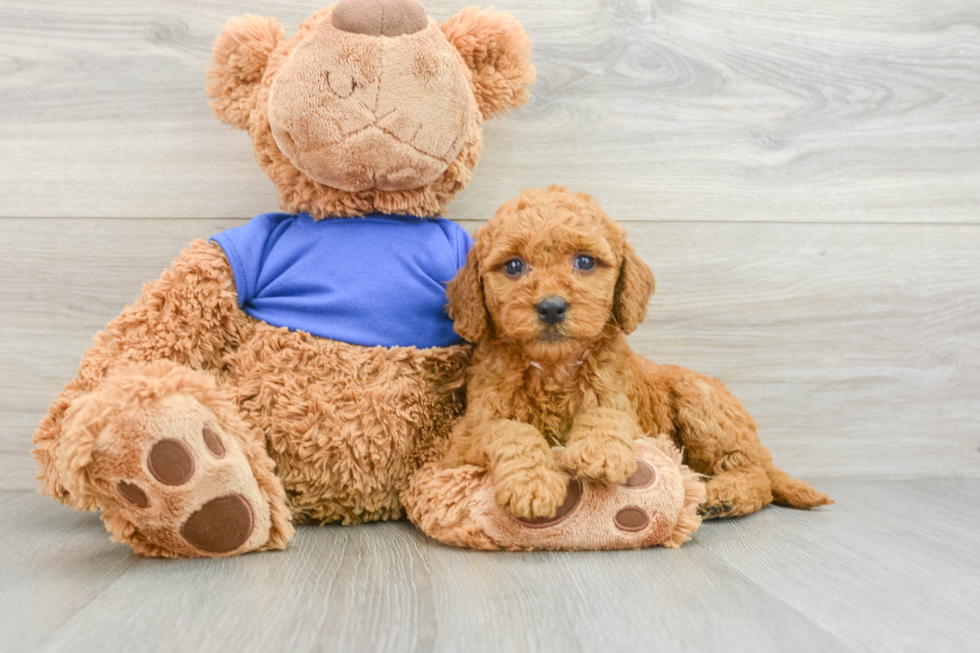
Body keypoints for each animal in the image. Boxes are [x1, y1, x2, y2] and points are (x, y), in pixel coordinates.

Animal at [448, 187, 832, 520]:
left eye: (584, 261)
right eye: (513, 266)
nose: (552, 307)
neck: (554, 366)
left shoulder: (625, 409)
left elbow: (606, 416)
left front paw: (600, 454)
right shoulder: (467, 432)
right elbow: (509, 430)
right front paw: (534, 484)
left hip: (702, 404)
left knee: (755, 474)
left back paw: (724, 496)